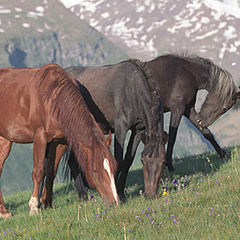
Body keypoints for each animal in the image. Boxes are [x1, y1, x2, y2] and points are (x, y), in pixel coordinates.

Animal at [0, 63, 119, 218]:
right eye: (94, 170)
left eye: (114, 167)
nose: (115, 203)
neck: (52, 98)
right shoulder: (40, 138)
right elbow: (38, 172)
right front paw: (34, 207)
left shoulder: (60, 141)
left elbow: (51, 171)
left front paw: (47, 203)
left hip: (5, 140)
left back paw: (3, 211)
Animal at [61, 53, 239, 198]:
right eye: (224, 107)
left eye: (160, 163)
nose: (150, 195)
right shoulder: (176, 109)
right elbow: (171, 138)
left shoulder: (177, 113)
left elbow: (206, 133)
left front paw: (223, 154)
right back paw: (84, 193)